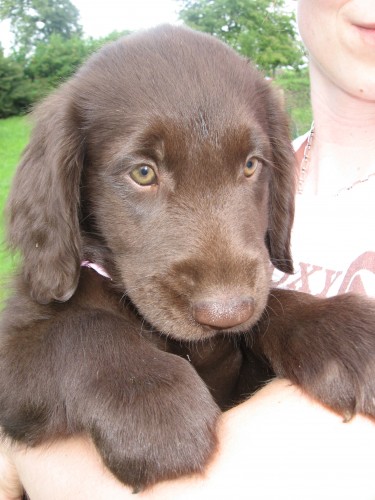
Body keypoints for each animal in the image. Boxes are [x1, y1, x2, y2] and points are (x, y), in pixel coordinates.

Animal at [0, 25, 375, 490]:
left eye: (251, 165)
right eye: (143, 173)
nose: (226, 312)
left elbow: (274, 302)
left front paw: (340, 327)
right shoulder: (18, 337)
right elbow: (80, 326)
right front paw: (151, 402)